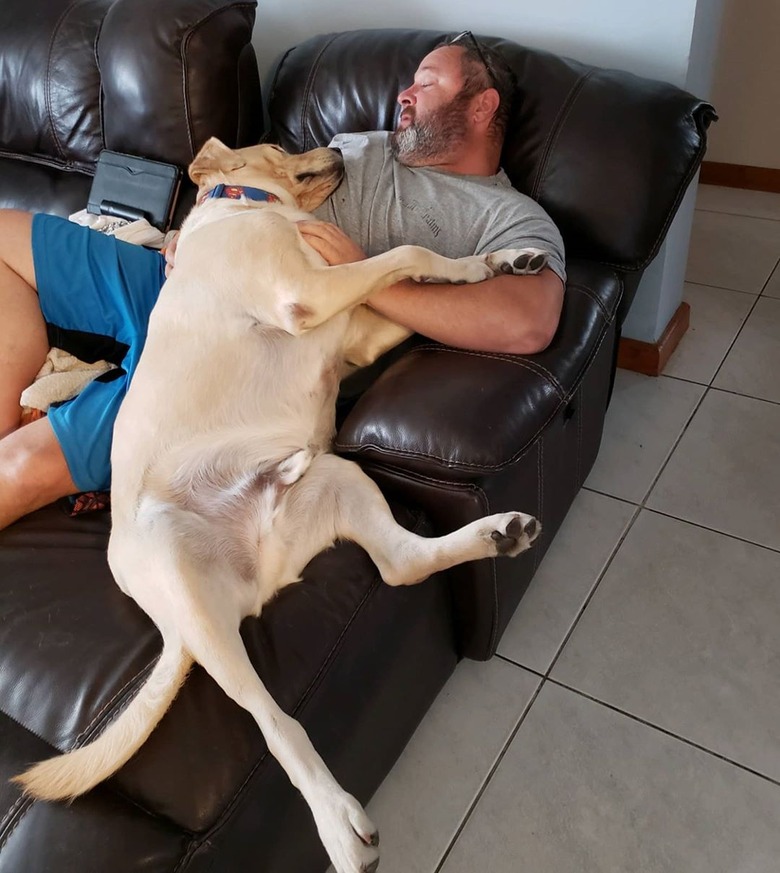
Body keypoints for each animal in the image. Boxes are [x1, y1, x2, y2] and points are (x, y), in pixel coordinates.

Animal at [15, 136, 544, 872]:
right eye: (276, 144)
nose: (338, 144)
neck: (248, 209)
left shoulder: (357, 329)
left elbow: (414, 275)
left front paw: (493, 264)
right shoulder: (306, 293)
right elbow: (403, 254)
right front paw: (477, 264)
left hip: (340, 479)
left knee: (401, 564)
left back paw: (499, 533)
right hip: (191, 591)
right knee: (276, 724)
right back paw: (338, 825)